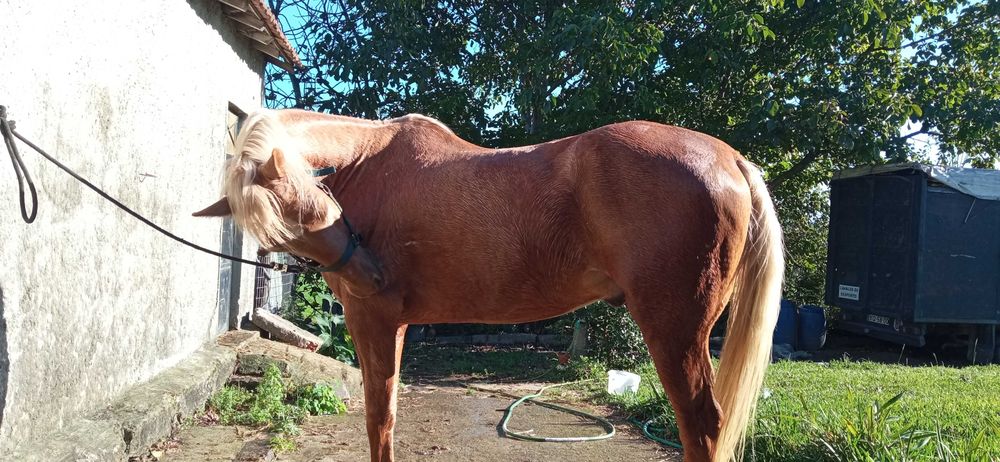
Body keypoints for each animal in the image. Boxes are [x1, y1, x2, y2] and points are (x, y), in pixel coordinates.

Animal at [193, 108, 783, 462]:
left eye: (317, 203)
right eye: (282, 226)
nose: (371, 275)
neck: (369, 163)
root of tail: (730, 158)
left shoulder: (372, 320)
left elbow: (377, 417)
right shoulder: (395, 325)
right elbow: (388, 414)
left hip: (675, 331)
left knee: (701, 425)